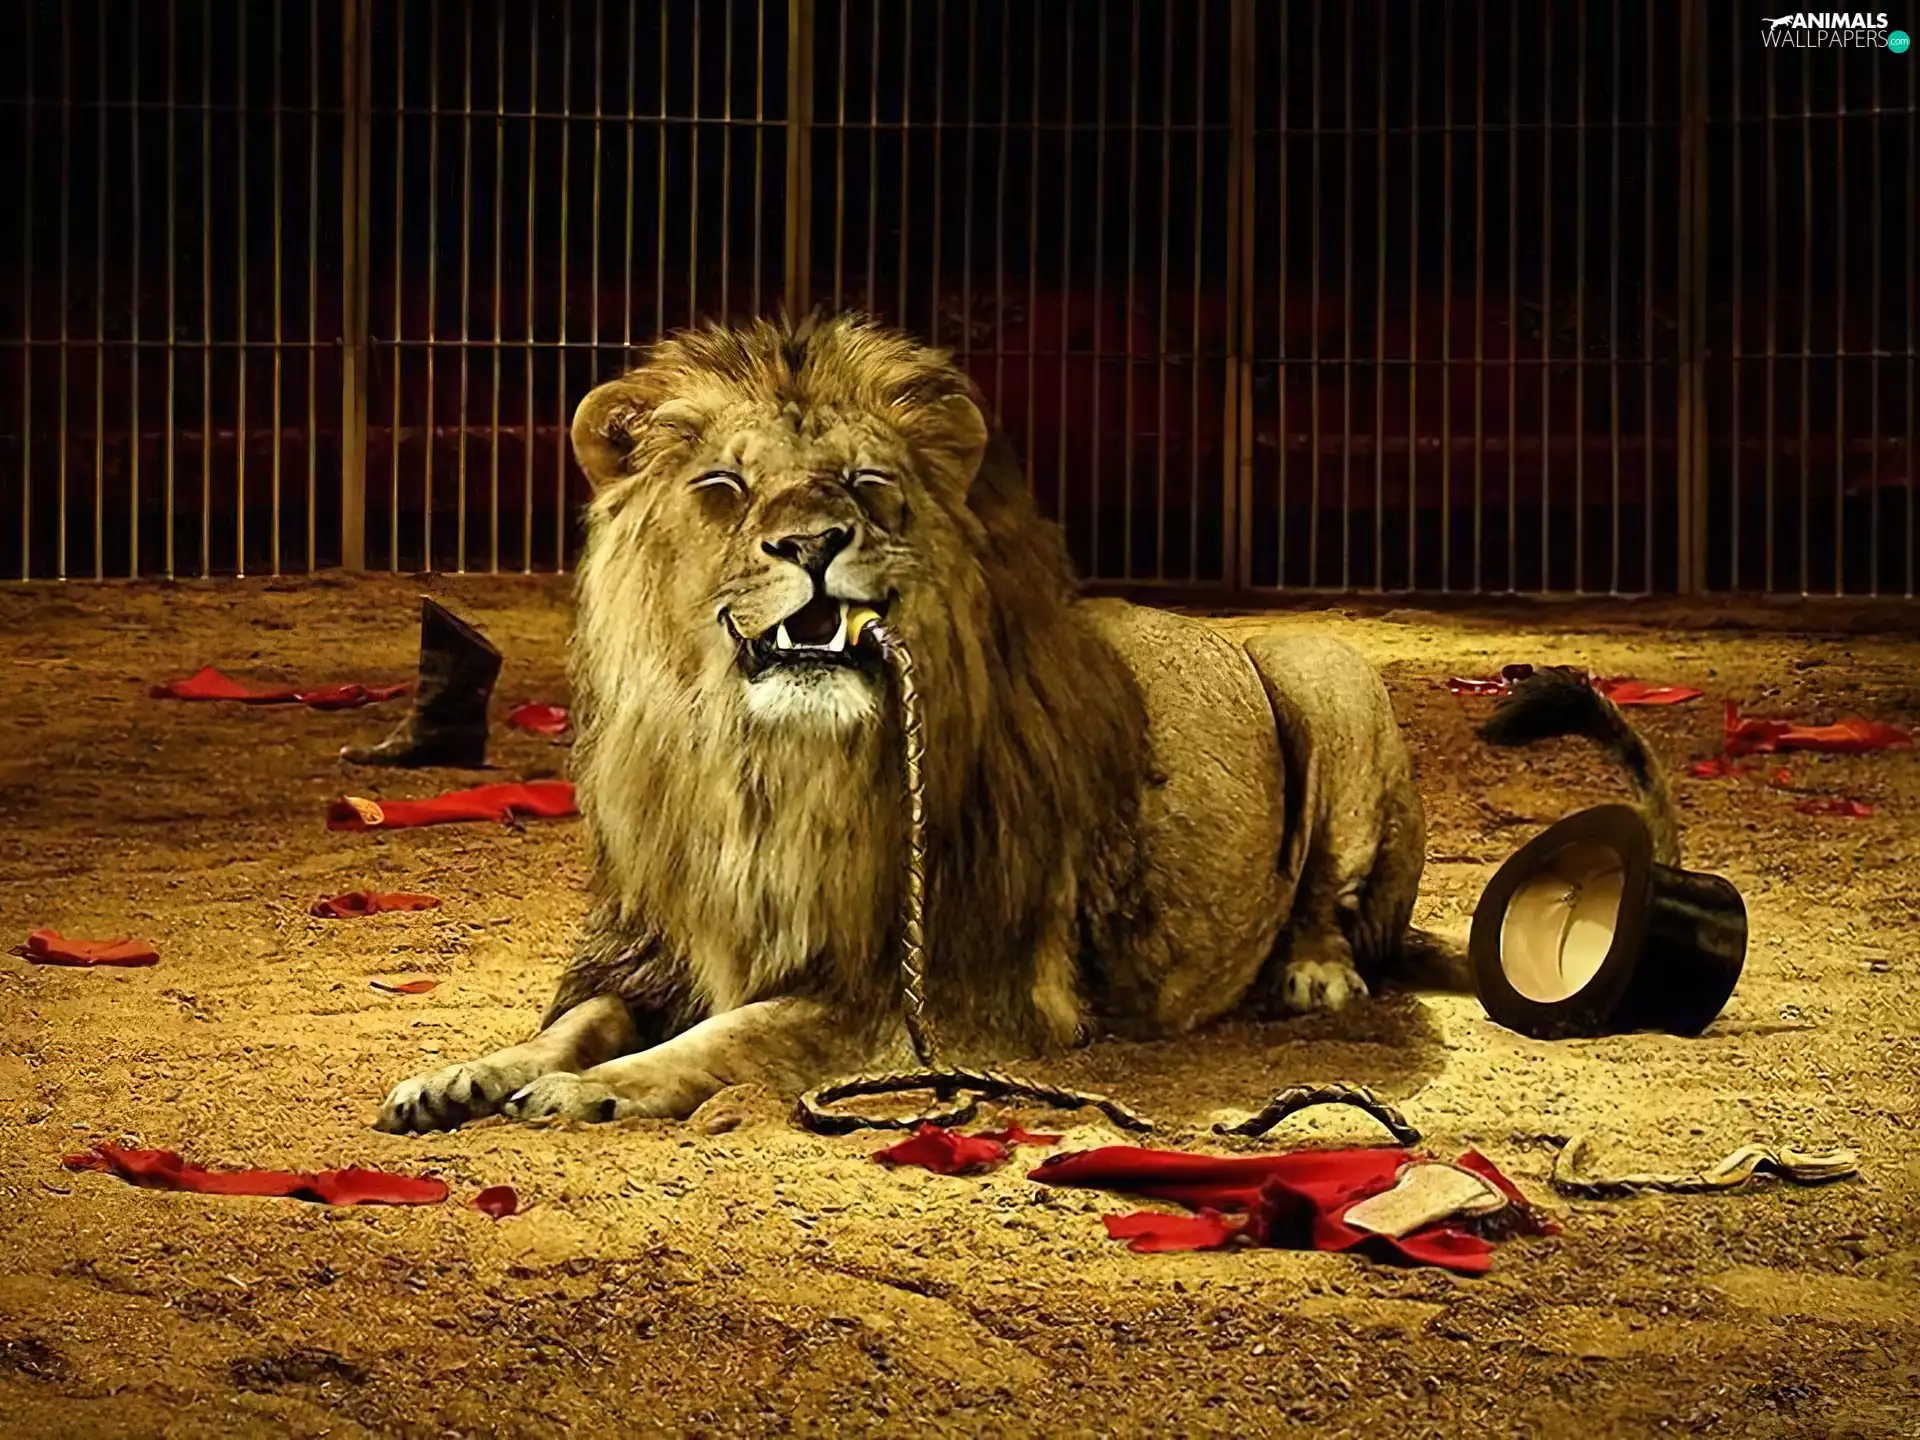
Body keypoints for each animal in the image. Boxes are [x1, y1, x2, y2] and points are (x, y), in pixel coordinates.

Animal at [374, 314, 1427, 1133]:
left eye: (867, 482)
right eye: (722, 487)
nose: (812, 543)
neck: (763, 770)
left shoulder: (948, 994)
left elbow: (736, 1034)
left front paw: (593, 1090)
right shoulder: (651, 947)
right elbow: (573, 1022)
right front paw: (466, 1075)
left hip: (1322, 669)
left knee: (1330, 897)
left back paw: (1315, 978)